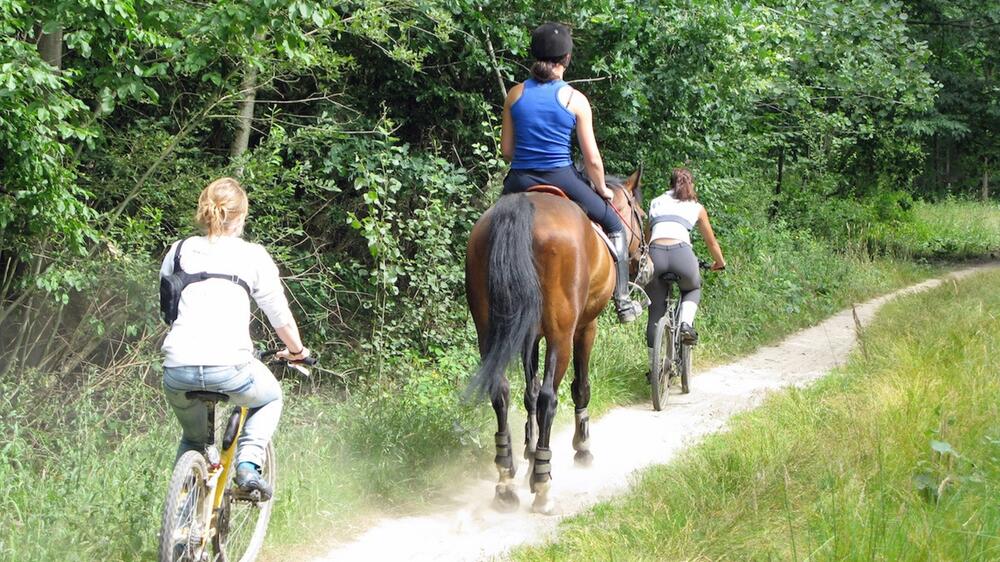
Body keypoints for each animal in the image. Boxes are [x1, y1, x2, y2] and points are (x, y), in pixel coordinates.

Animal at [464, 167, 644, 512]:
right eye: (641, 215)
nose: (647, 261)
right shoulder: (585, 327)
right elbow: (579, 387)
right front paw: (579, 449)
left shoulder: (530, 335)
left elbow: (529, 394)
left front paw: (529, 454)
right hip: (562, 332)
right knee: (550, 396)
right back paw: (543, 485)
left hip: (488, 327)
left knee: (502, 390)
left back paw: (506, 480)